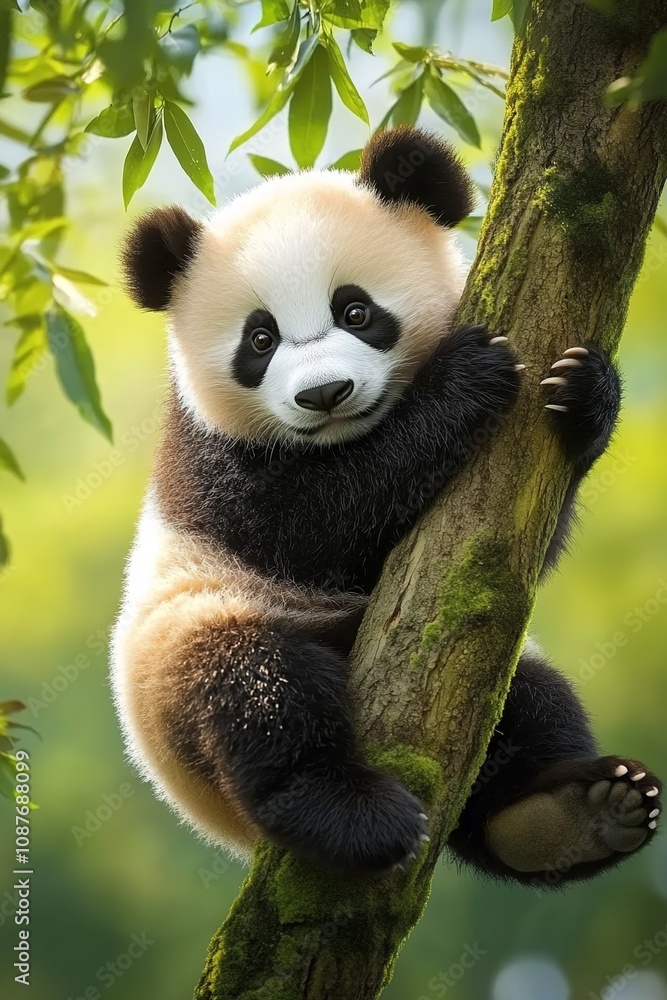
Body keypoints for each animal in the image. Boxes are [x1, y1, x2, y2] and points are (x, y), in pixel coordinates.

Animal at [111, 125, 661, 884]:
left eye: (356, 311)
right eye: (261, 339)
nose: (324, 394)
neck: (343, 436)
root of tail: (226, 828)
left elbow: (529, 537)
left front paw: (583, 392)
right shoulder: (207, 462)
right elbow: (315, 523)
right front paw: (462, 382)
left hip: (507, 679)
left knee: (532, 703)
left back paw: (571, 817)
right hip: (188, 651)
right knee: (256, 696)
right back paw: (352, 814)